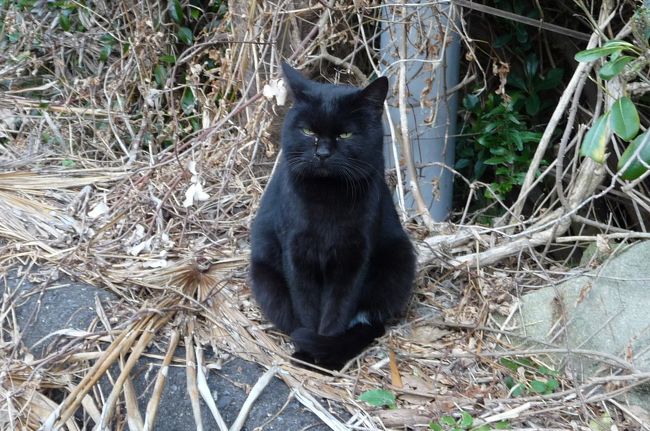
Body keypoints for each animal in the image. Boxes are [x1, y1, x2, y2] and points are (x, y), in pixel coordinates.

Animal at [249, 64, 416, 372]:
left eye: (346, 135)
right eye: (308, 131)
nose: (323, 153)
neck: (328, 199)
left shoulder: (354, 257)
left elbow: (337, 310)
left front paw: (325, 355)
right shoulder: (297, 252)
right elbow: (306, 307)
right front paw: (307, 355)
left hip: (399, 260)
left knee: (371, 323)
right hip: (265, 276)